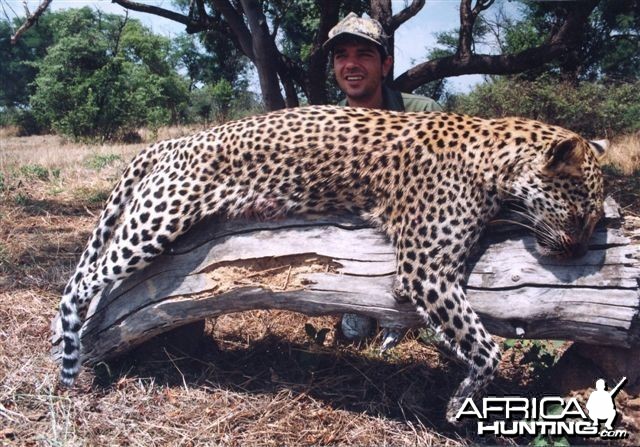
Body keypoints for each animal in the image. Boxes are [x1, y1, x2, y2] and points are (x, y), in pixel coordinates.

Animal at [56, 104, 604, 424]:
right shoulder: (425, 266)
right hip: (157, 218)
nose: (577, 252)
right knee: (81, 283)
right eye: (580, 214)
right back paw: (66, 353)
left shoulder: (428, 273)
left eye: (595, 219)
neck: (497, 158)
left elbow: (454, 333)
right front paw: (459, 403)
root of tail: (173, 141)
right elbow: (485, 347)